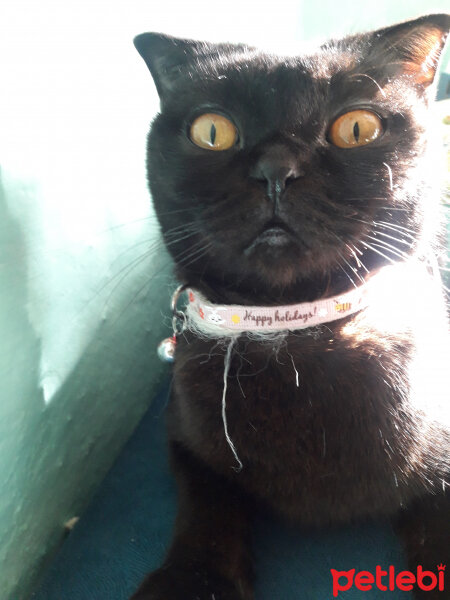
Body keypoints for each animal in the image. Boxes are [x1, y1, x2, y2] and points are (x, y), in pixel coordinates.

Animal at [132, 16, 448, 596]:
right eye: (212, 131)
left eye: (358, 128)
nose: (275, 170)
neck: (292, 336)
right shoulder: (182, 435)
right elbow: (208, 501)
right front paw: (191, 576)